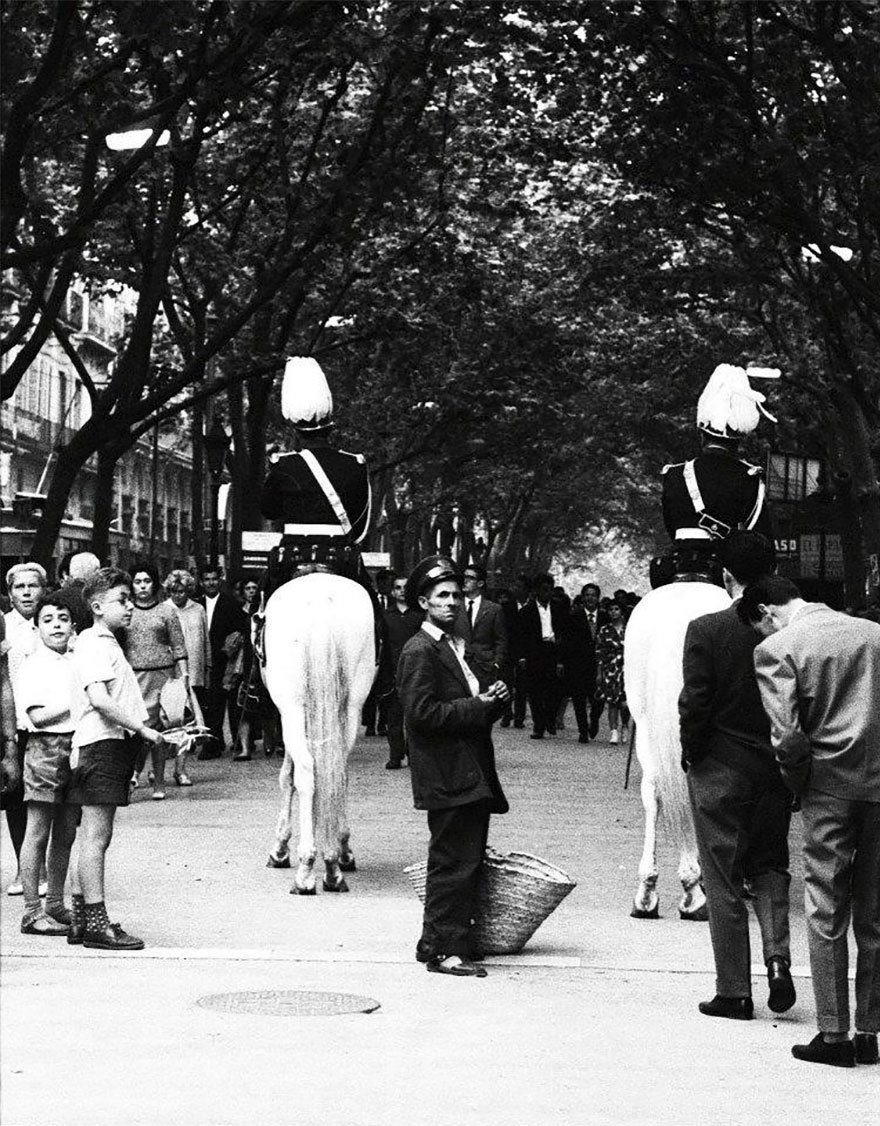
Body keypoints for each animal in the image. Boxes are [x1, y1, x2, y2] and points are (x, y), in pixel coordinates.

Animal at [259, 576, 373, 891]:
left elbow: (288, 778)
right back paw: (335, 861)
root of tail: (322, 599)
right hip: (352, 705)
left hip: (292, 707)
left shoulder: (288, 715)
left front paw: (280, 849)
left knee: (307, 772)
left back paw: (307, 870)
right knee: (338, 773)